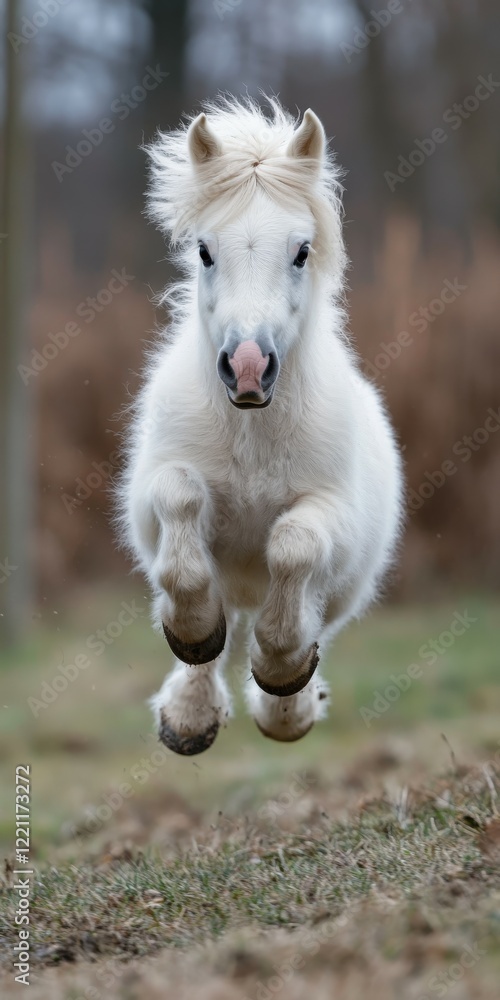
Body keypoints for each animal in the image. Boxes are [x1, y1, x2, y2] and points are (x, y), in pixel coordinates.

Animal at [117, 97, 403, 755]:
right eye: (204, 250)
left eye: (301, 251)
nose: (248, 366)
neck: (252, 431)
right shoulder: (155, 492)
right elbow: (181, 511)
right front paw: (193, 631)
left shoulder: (331, 514)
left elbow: (293, 548)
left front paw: (281, 675)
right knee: (216, 635)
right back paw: (188, 719)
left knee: (306, 617)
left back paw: (287, 710)